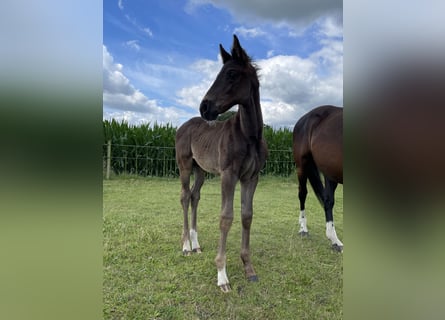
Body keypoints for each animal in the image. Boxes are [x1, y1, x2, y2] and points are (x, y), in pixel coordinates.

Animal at [175, 35, 268, 292]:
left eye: (232, 73)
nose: (204, 107)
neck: (249, 135)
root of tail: (182, 126)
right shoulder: (229, 174)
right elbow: (226, 218)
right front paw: (222, 275)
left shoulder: (251, 177)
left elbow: (247, 215)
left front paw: (249, 268)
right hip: (184, 165)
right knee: (184, 196)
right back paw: (185, 246)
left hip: (201, 171)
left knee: (195, 195)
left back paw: (196, 245)